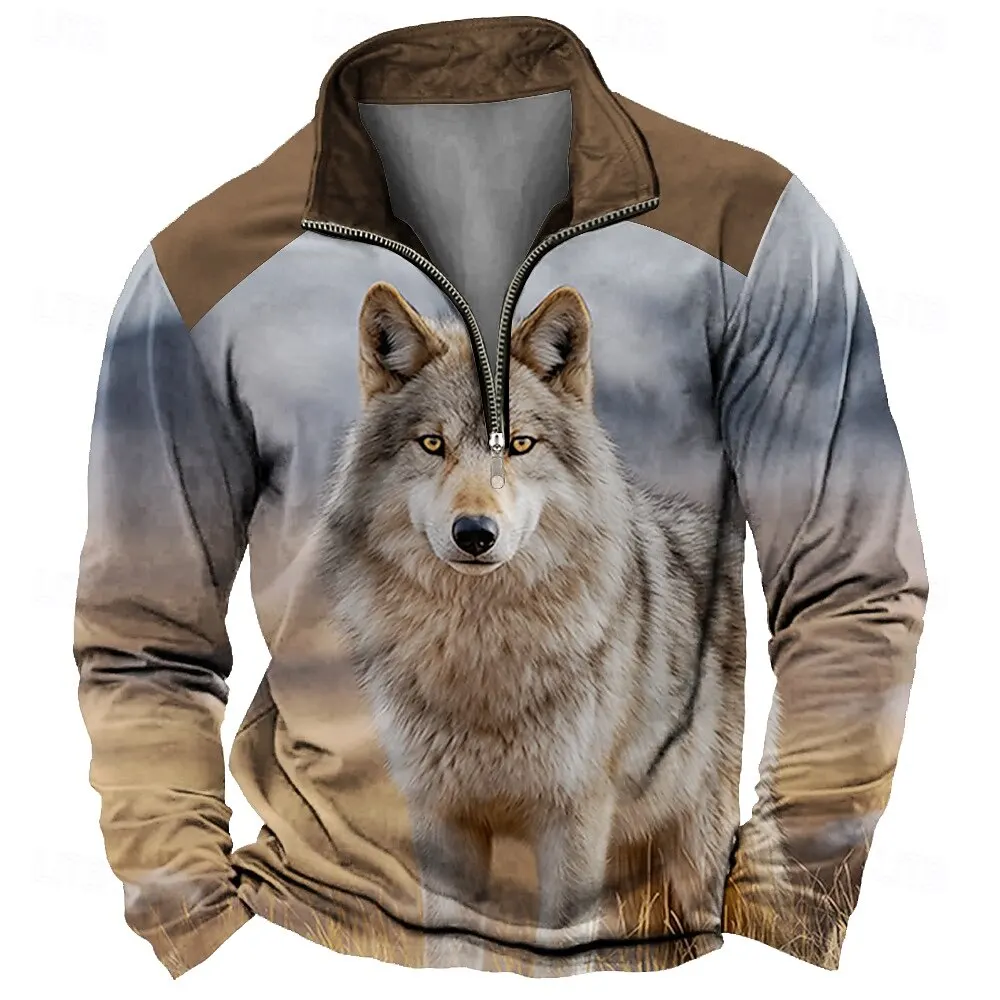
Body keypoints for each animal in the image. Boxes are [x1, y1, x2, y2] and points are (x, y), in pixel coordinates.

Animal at [312, 279, 747, 957]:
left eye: (519, 444)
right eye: (432, 443)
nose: (474, 533)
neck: (482, 655)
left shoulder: (574, 823)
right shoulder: (443, 822)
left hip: (694, 859)